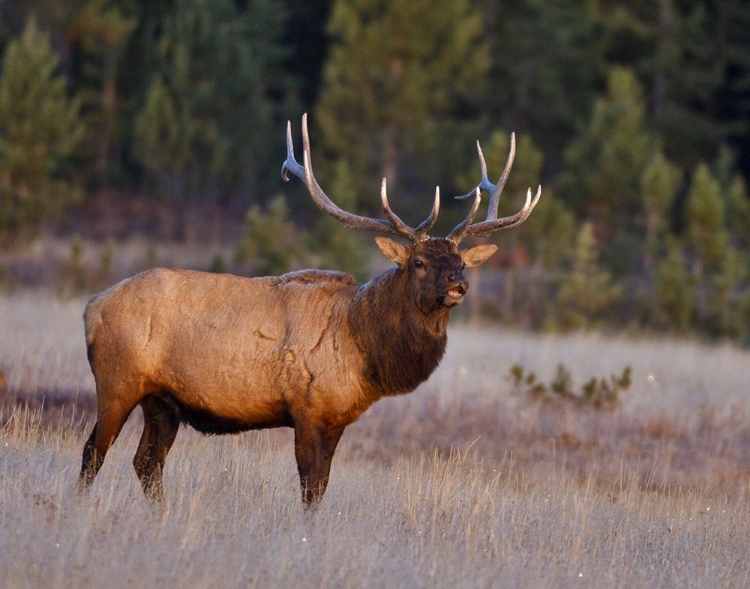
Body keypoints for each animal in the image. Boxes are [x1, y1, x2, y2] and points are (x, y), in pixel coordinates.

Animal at [78, 113, 540, 506]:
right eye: (419, 263)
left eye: (460, 261)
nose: (459, 285)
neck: (364, 350)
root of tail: (90, 307)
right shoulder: (306, 408)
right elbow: (310, 486)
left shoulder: (337, 418)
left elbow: (321, 487)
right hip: (117, 381)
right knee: (93, 452)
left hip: (163, 401)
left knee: (146, 463)